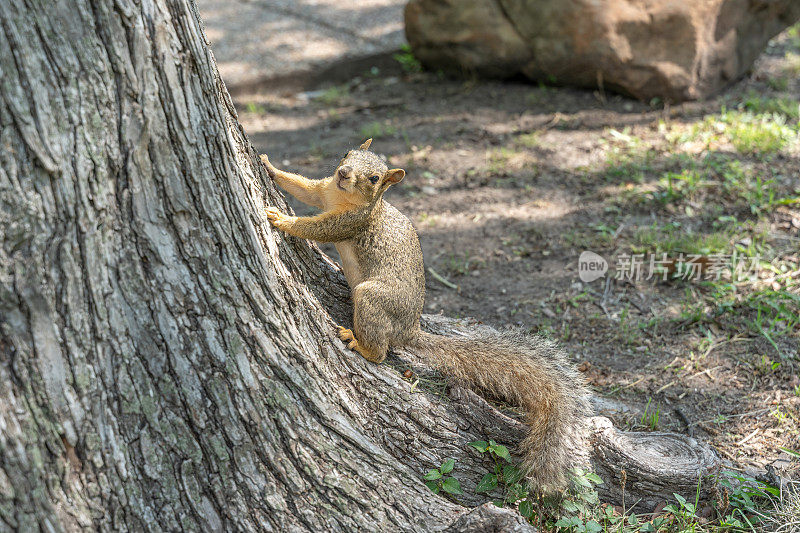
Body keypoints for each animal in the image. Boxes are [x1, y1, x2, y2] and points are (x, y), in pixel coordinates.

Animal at [260, 139, 588, 492]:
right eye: (347, 155)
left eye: (374, 178)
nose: (343, 173)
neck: (344, 196)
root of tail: (409, 330)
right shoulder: (324, 192)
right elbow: (303, 188)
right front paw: (268, 165)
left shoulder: (351, 221)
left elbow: (318, 228)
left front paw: (282, 220)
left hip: (373, 298)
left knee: (380, 351)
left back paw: (360, 343)